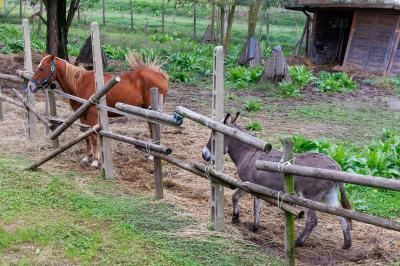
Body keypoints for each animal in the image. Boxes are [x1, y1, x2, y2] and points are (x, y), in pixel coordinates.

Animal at [28, 52, 169, 168]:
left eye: (42, 68)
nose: (30, 86)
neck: (79, 84)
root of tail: (161, 76)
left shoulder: (92, 116)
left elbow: (94, 137)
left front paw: (95, 161)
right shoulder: (82, 115)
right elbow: (86, 136)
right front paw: (87, 157)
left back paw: (152, 156)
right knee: (152, 129)